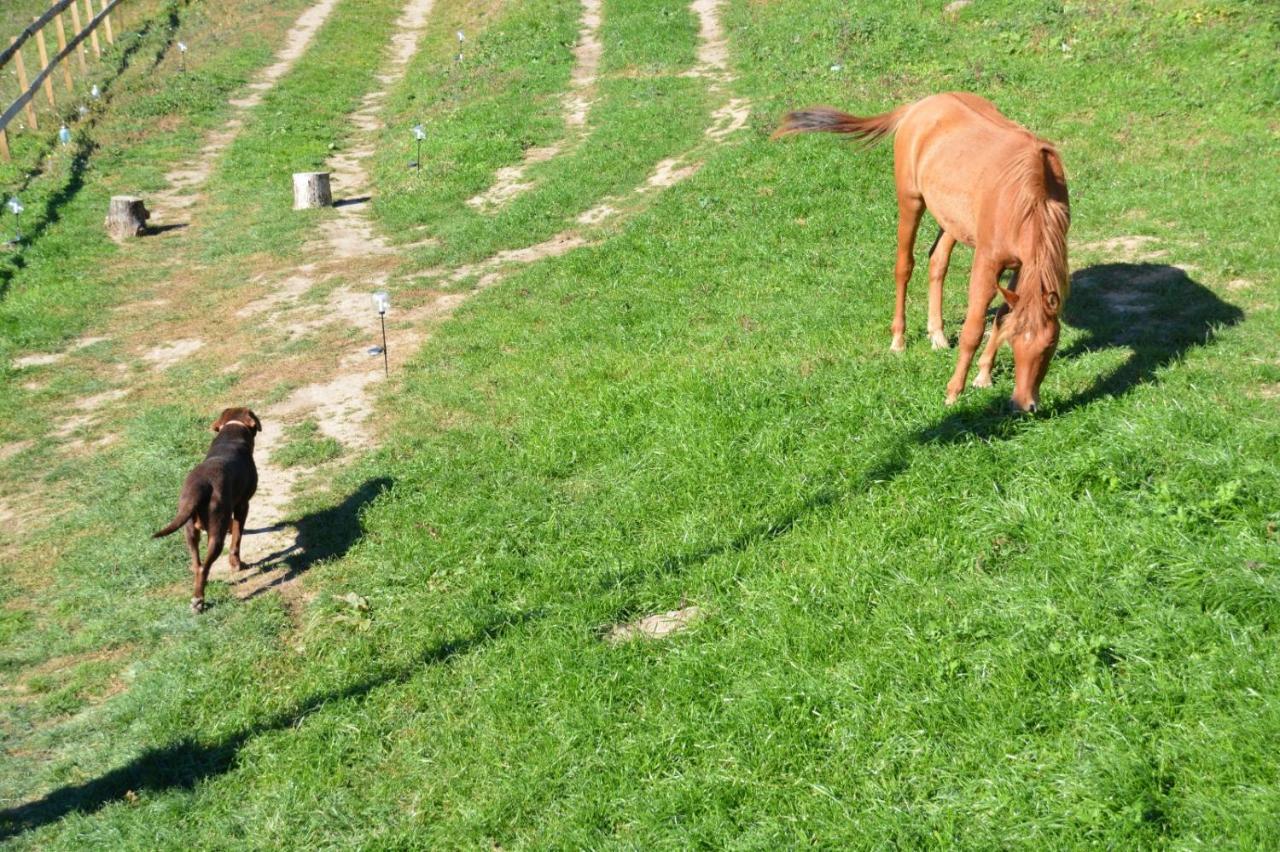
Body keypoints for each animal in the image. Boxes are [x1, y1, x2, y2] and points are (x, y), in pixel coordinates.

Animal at [153, 406, 261, 611]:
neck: (231, 433)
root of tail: (199, 487)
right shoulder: (243, 504)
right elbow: (237, 538)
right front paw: (237, 564)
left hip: (189, 529)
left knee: (197, 564)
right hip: (216, 533)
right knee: (205, 566)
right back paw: (198, 601)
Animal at [773, 92, 1064, 411]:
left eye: (1050, 345)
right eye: (1016, 343)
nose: (1025, 404)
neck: (1028, 198)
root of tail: (919, 105)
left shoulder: (1023, 266)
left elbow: (1002, 316)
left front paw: (983, 375)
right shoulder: (988, 263)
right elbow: (973, 330)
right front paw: (953, 392)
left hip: (949, 219)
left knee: (937, 261)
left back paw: (937, 335)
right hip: (911, 201)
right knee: (904, 266)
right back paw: (898, 340)